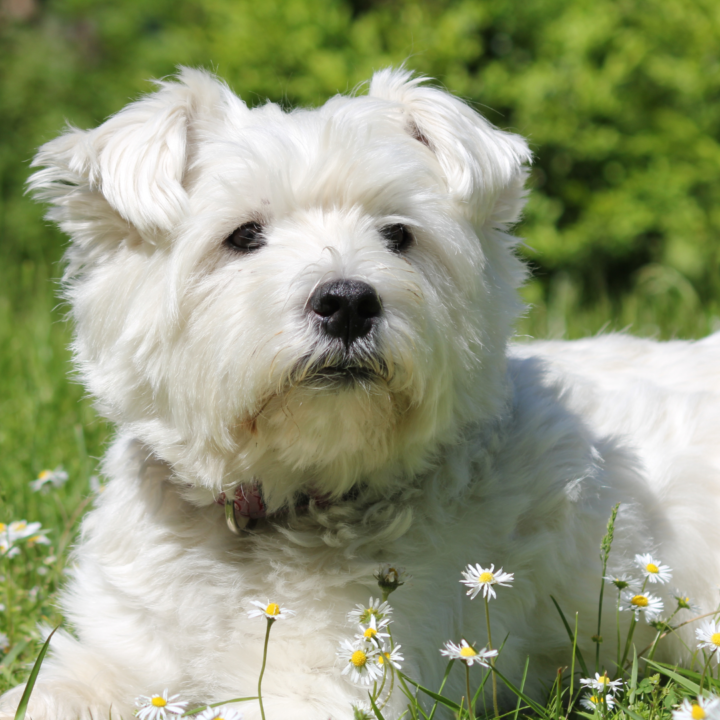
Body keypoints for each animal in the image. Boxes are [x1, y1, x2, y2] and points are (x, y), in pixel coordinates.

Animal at [1, 69, 720, 720]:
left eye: (398, 234)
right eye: (243, 235)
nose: (347, 301)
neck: (271, 512)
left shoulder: (333, 680)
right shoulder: (115, 657)